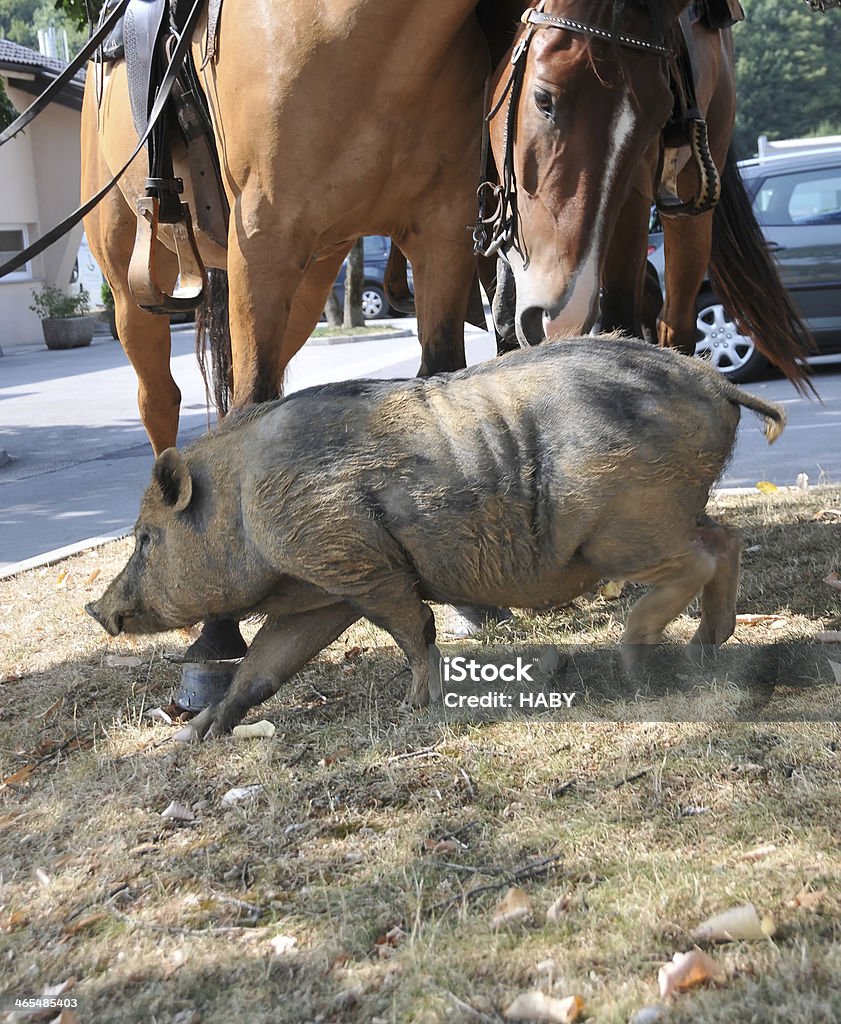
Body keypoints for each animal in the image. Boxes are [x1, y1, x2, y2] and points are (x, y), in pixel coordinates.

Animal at [85, 339, 782, 741]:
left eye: (146, 538)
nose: (97, 608)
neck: (243, 506)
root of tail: (715, 380)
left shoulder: (359, 564)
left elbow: (413, 628)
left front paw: (414, 710)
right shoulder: (324, 591)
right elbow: (262, 667)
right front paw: (190, 738)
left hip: (625, 528)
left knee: (694, 561)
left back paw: (640, 664)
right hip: (670, 512)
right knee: (726, 539)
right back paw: (705, 649)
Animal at [485, 0, 815, 391]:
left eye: (657, 121)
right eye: (542, 98)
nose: (558, 318)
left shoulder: (633, 196)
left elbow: (621, 318)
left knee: (674, 323)